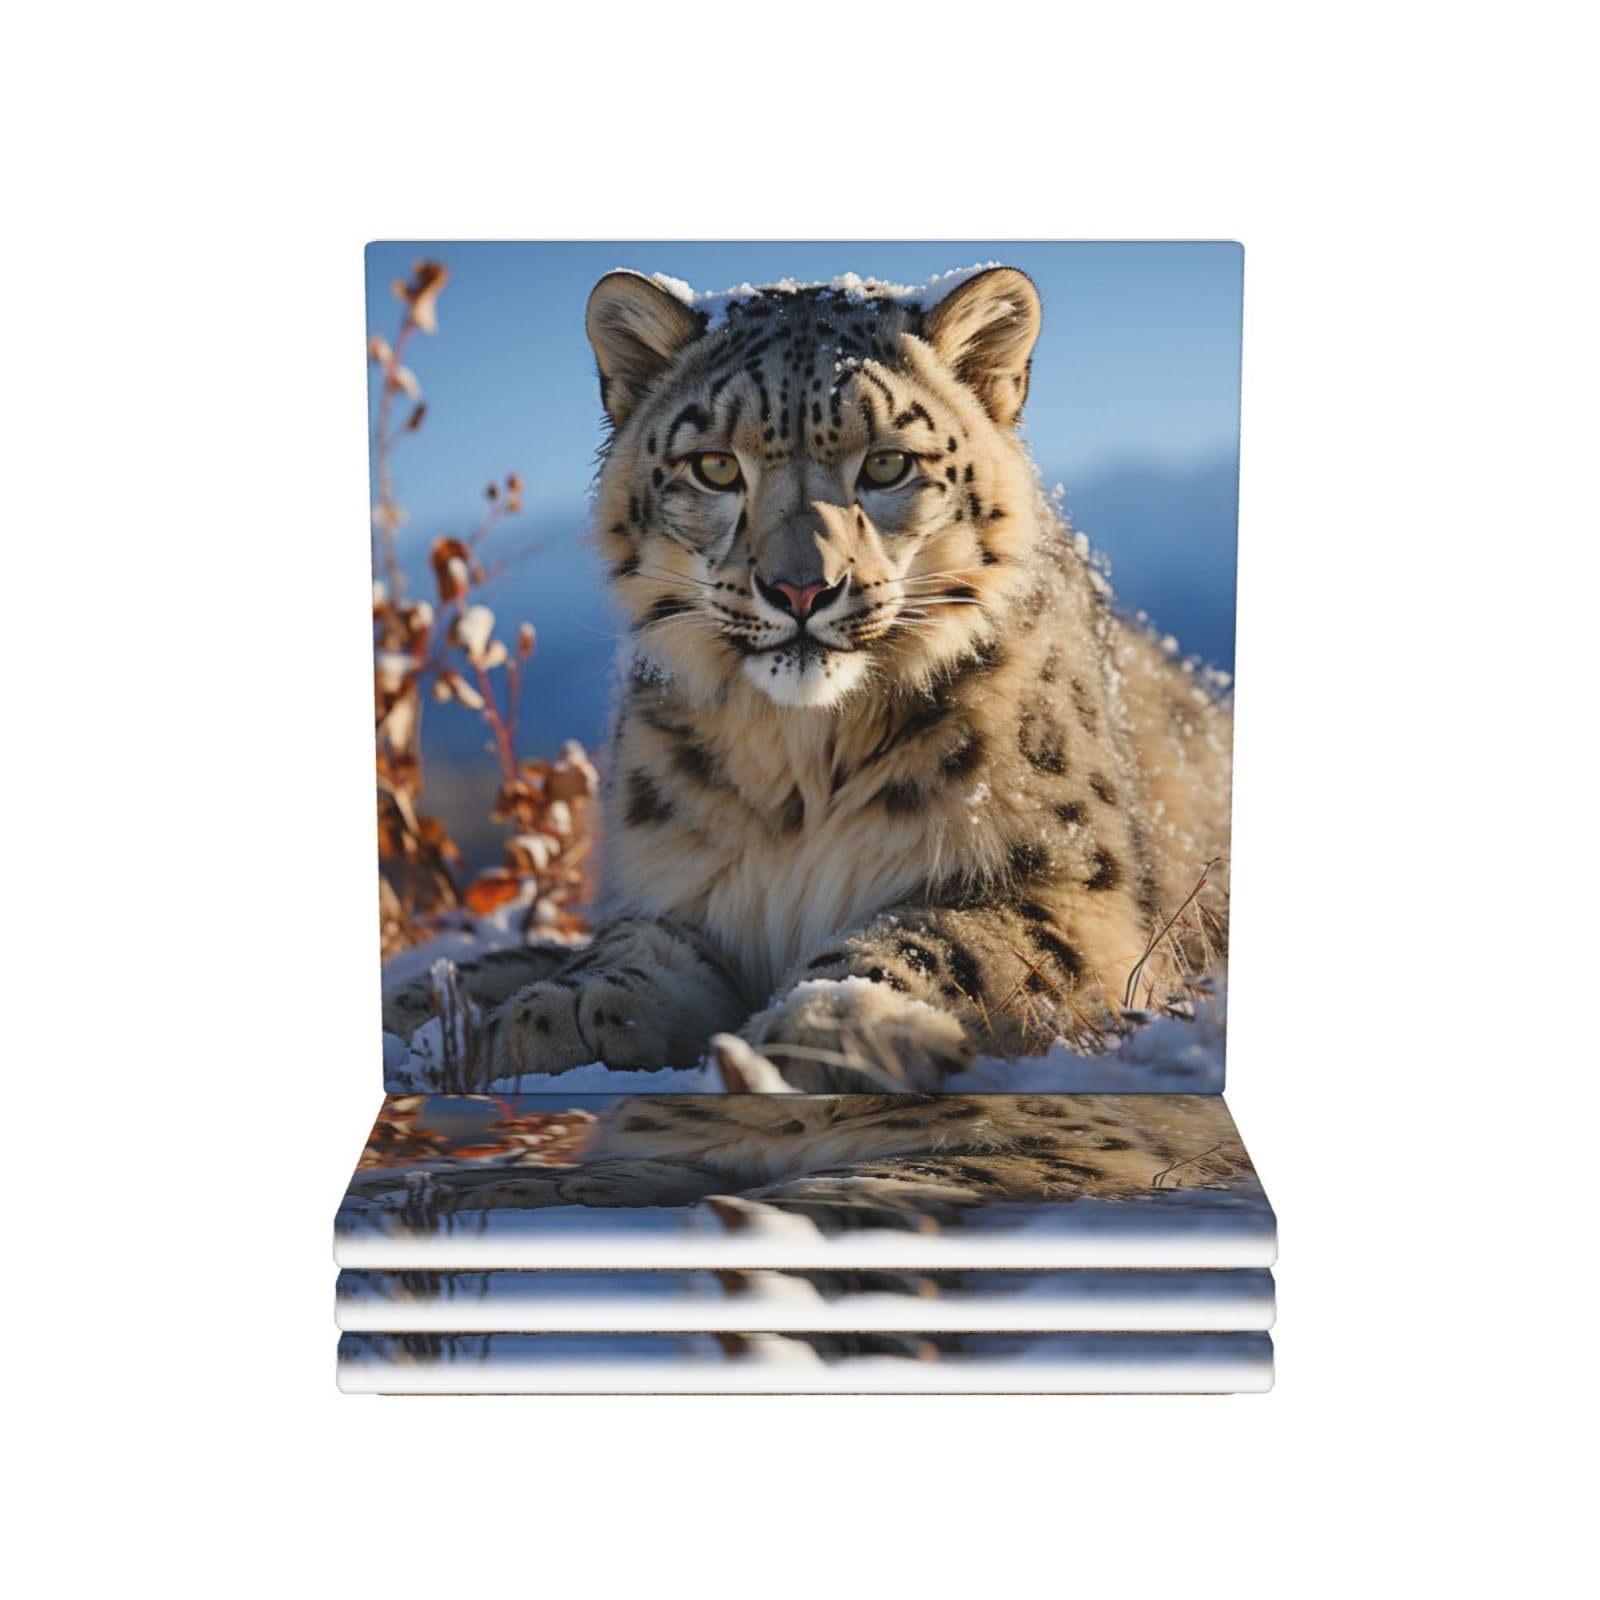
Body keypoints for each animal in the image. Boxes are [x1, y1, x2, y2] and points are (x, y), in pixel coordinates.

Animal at [384, 265, 1232, 1094]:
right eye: (715, 466)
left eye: (888, 462)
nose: (799, 589)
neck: (801, 767)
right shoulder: (683, 888)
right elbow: (630, 945)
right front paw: (560, 1015)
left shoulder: (1065, 890)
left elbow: (940, 937)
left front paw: (830, 1019)